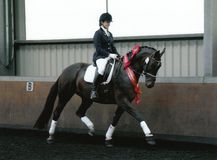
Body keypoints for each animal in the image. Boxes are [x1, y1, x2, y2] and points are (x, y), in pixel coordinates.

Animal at [34, 44, 165, 147]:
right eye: (152, 64)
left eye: (159, 66)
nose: (150, 84)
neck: (126, 73)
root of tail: (64, 71)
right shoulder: (122, 100)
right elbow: (138, 115)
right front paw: (150, 136)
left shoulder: (123, 102)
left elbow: (115, 119)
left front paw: (108, 139)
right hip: (65, 95)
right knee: (57, 112)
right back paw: (51, 137)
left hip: (87, 99)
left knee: (80, 112)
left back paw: (91, 129)